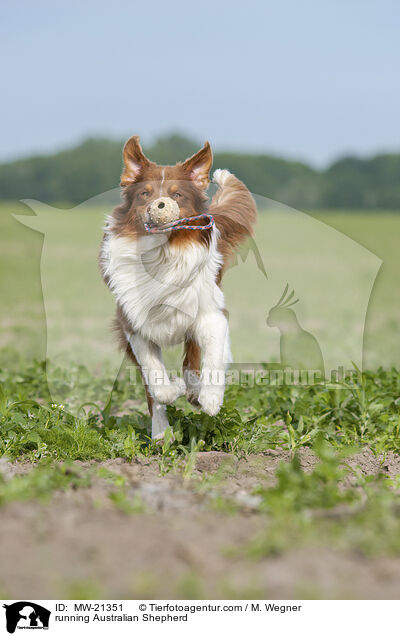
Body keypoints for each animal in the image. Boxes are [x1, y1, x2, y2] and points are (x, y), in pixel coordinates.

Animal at [99, 137, 256, 440]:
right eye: (144, 194)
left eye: (178, 195)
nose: (159, 205)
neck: (163, 256)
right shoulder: (133, 325)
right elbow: (156, 383)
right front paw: (173, 395)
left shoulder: (211, 315)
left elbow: (212, 359)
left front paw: (209, 399)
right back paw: (162, 432)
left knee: (192, 359)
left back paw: (195, 390)